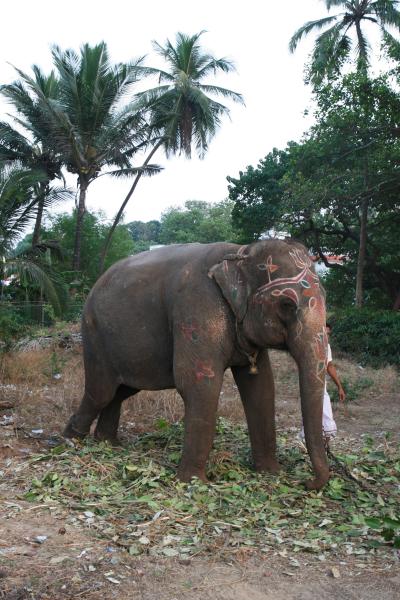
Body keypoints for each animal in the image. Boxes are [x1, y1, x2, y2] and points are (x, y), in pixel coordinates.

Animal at [64, 241, 330, 490]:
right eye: (287, 305)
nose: (306, 483)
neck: (241, 252)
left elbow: (261, 385)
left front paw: (271, 474)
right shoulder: (197, 309)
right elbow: (200, 385)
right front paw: (192, 482)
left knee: (120, 392)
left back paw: (107, 444)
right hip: (94, 335)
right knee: (101, 391)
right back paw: (71, 441)